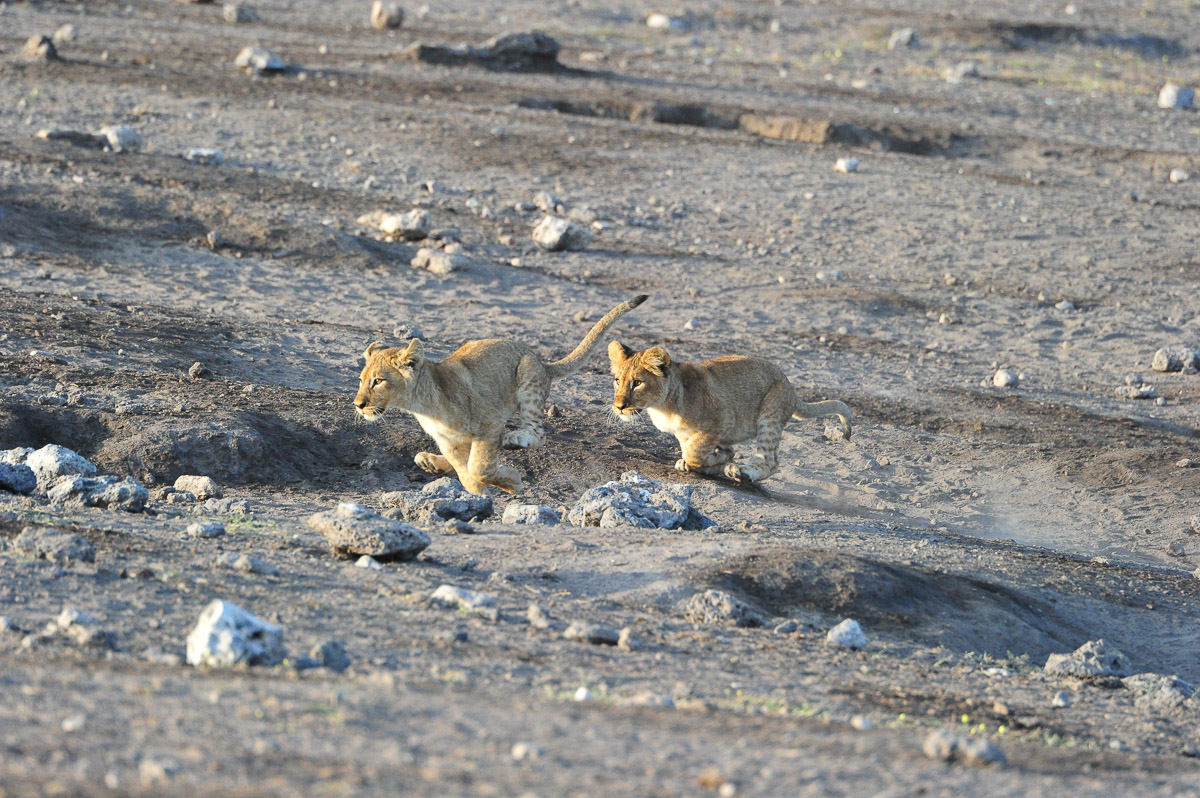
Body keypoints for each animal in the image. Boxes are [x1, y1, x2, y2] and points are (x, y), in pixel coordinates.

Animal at [355, 295, 648, 495]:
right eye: (361, 380)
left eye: (378, 381)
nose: (358, 404)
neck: (423, 405)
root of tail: (543, 362)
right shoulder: (449, 442)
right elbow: (467, 473)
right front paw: (479, 498)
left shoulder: (490, 424)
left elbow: (478, 468)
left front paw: (512, 482)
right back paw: (429, 462)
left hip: (527, 377)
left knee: (537, 433)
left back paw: (514, 439)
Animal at [608, 342, 851, 483]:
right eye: (618, 380)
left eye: (637, 383)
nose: (619, 406)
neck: (661, 406)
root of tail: (791, 389)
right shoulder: (688, 433)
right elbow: (692, 448)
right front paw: (710, 462)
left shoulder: (723, 419)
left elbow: (695, 452)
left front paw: (711, 463)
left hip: (770, 412)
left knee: (770, 461)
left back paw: (742, 472)